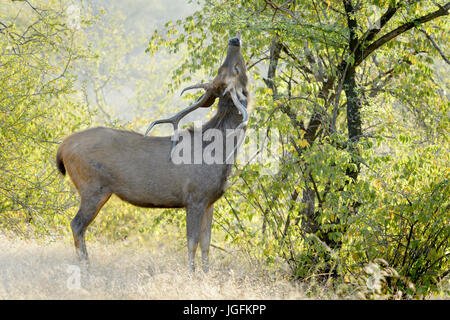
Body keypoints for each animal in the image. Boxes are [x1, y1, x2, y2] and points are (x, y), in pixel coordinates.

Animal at [55, 36, 250, 274]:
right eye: (235, 67)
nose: (234, 40)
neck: (220, 154)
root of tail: (62, 148)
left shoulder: (210, 200)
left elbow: (206, 243)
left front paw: (206, 274)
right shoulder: (194, 197)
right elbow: (192, 242)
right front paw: (191, 274)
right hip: (92, 186)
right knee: (76, 224)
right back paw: (86, 268)